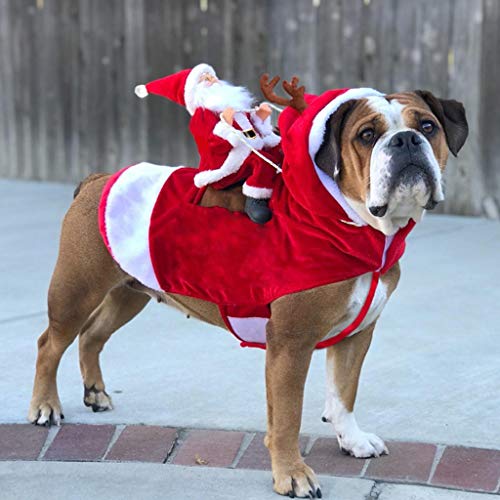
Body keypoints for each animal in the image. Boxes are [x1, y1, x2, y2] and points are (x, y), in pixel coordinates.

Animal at [30, 84, 468, 498]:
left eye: (428, 126)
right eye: (367, 135)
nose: (407, 140)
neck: (351, 222)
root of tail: (98, 179)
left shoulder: (357, 335)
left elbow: (344, 393)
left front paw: (353, 440)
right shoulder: (291, 345)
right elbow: (288, 417)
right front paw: (293, 475)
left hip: (129, 292)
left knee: (92, 336)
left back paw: (95, 393)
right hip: (76, 292)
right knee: (50, 344)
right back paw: (45, 407)